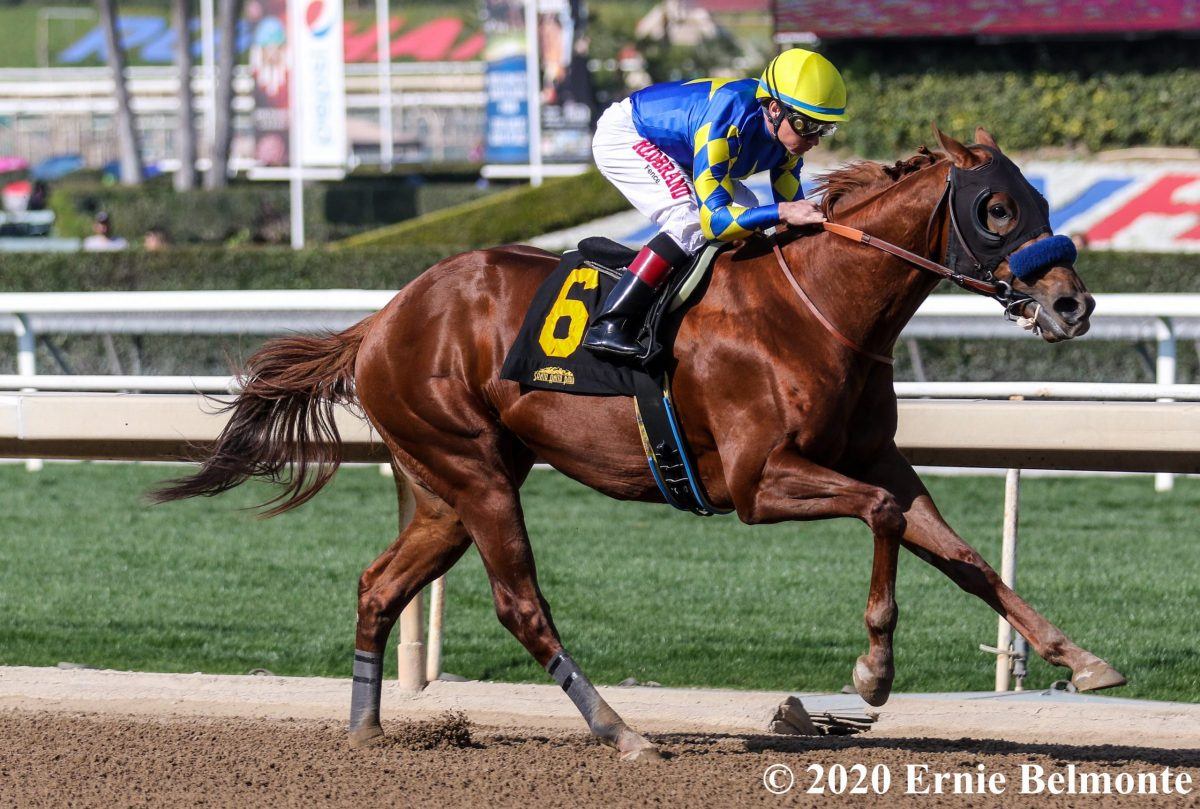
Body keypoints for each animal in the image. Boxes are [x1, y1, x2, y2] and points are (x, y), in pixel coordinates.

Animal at [152, 129, 1123, 758]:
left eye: (1041, 200)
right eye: (994, 208)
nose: (1073, 304)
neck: (818, 306)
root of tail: (383, 318)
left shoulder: (873, 456)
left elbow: (963, 556)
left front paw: (1080, 658)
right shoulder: (758, 482)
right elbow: (884, 517)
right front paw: (875, 671)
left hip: (445, 486)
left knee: (379, 584)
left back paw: (366, 729)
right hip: (473, 471)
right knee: (521, 604)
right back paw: (620, 730)